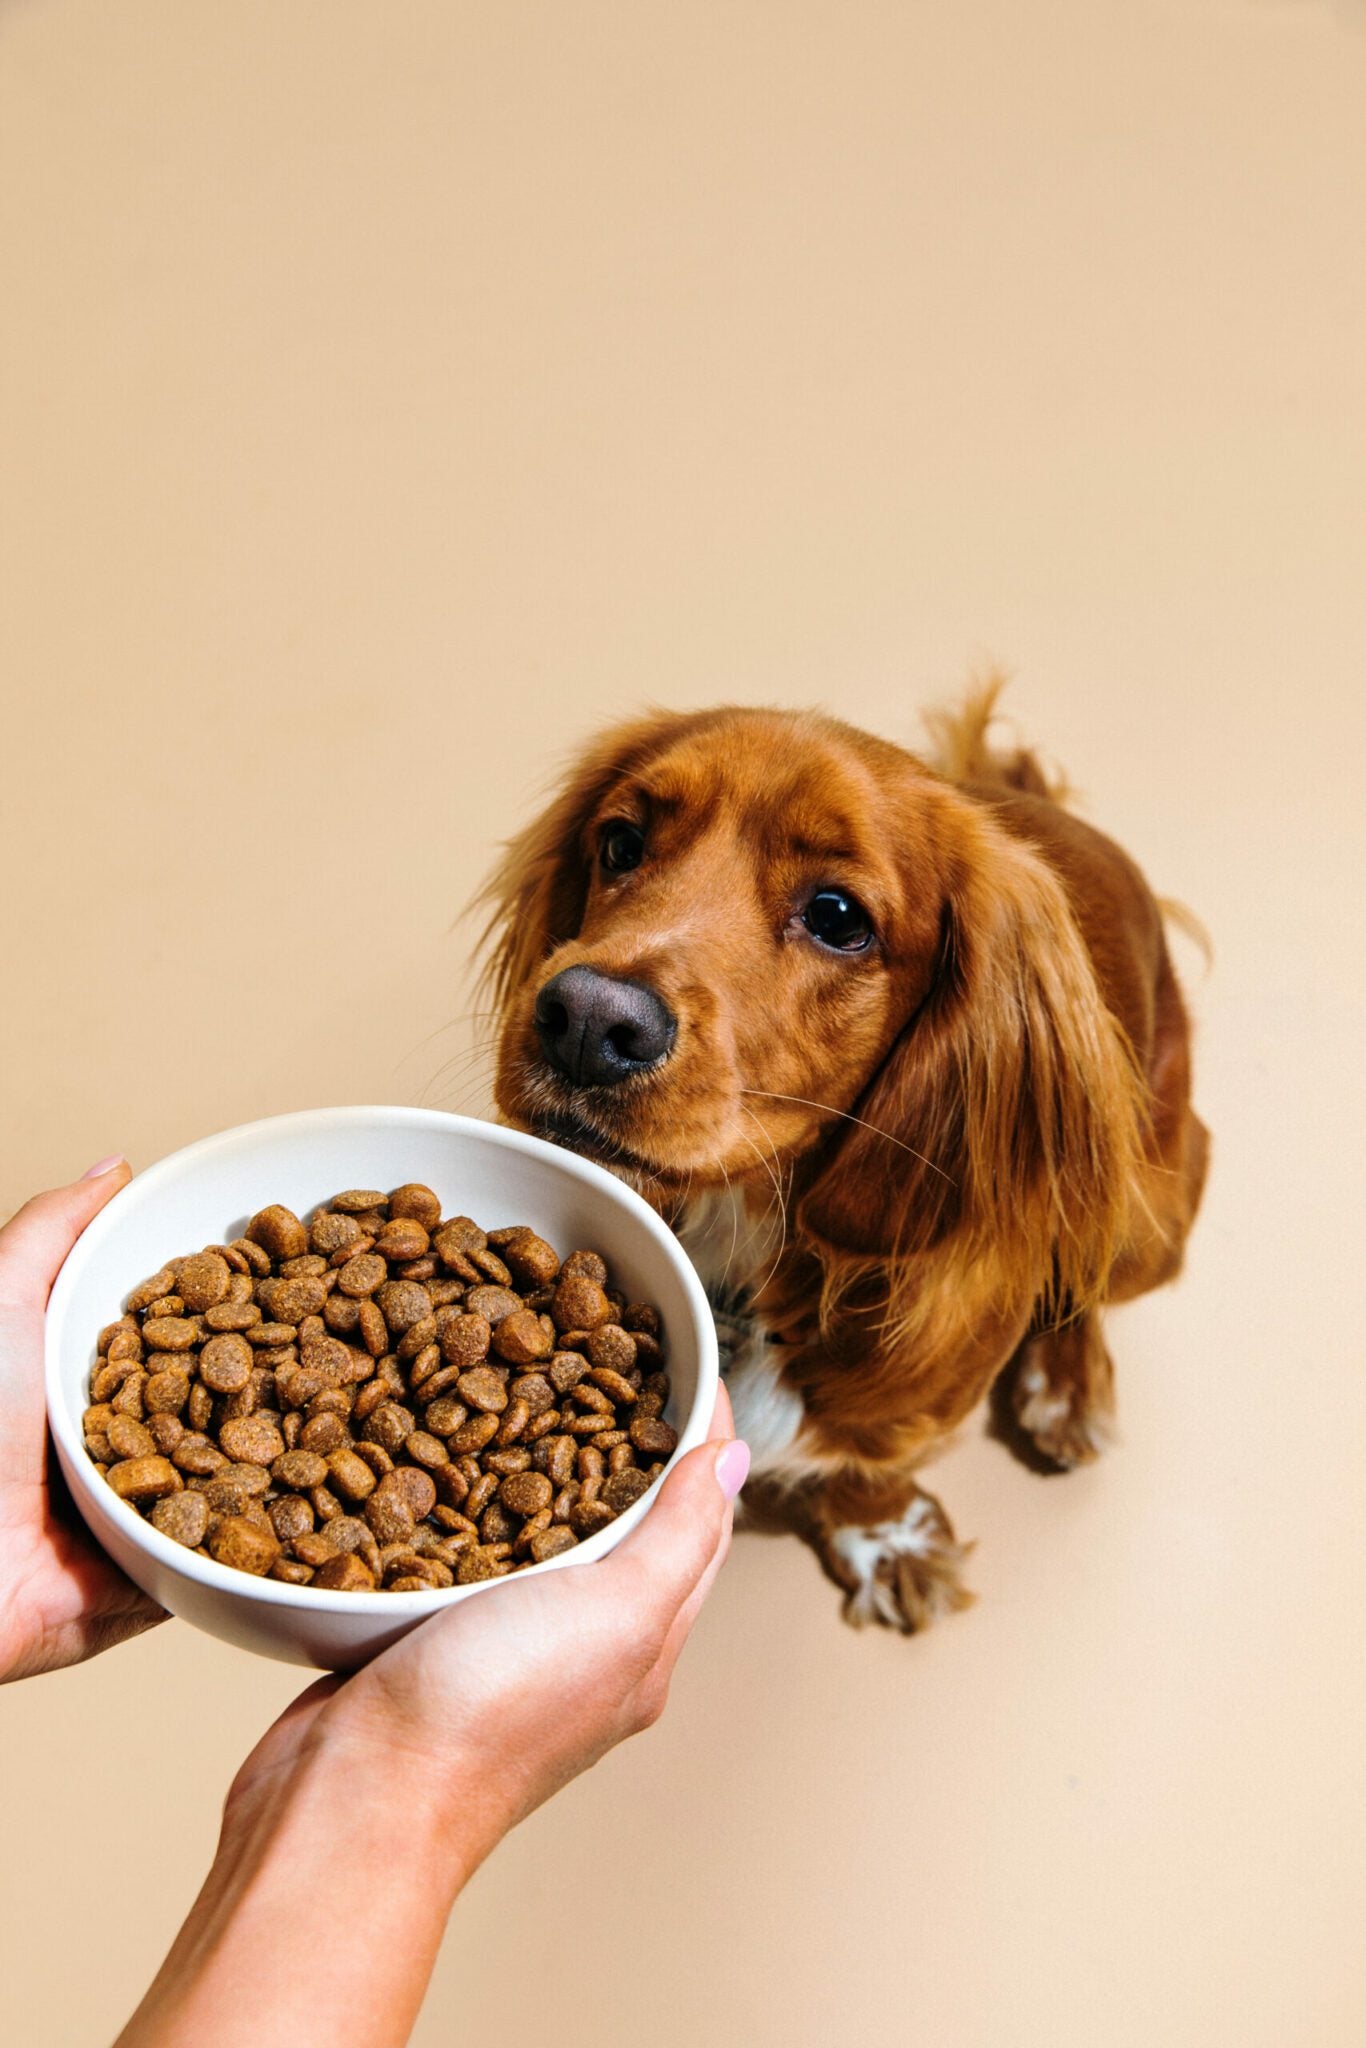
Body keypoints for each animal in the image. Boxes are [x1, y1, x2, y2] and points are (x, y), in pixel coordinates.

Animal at [479, 696, 1204, 1638]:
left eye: (837, 917)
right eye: (622, 844)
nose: (586, 1020)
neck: (744, 1233)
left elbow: (870, 1470)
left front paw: (888, 1541)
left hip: (1154, 1207)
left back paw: (1067, 1386)